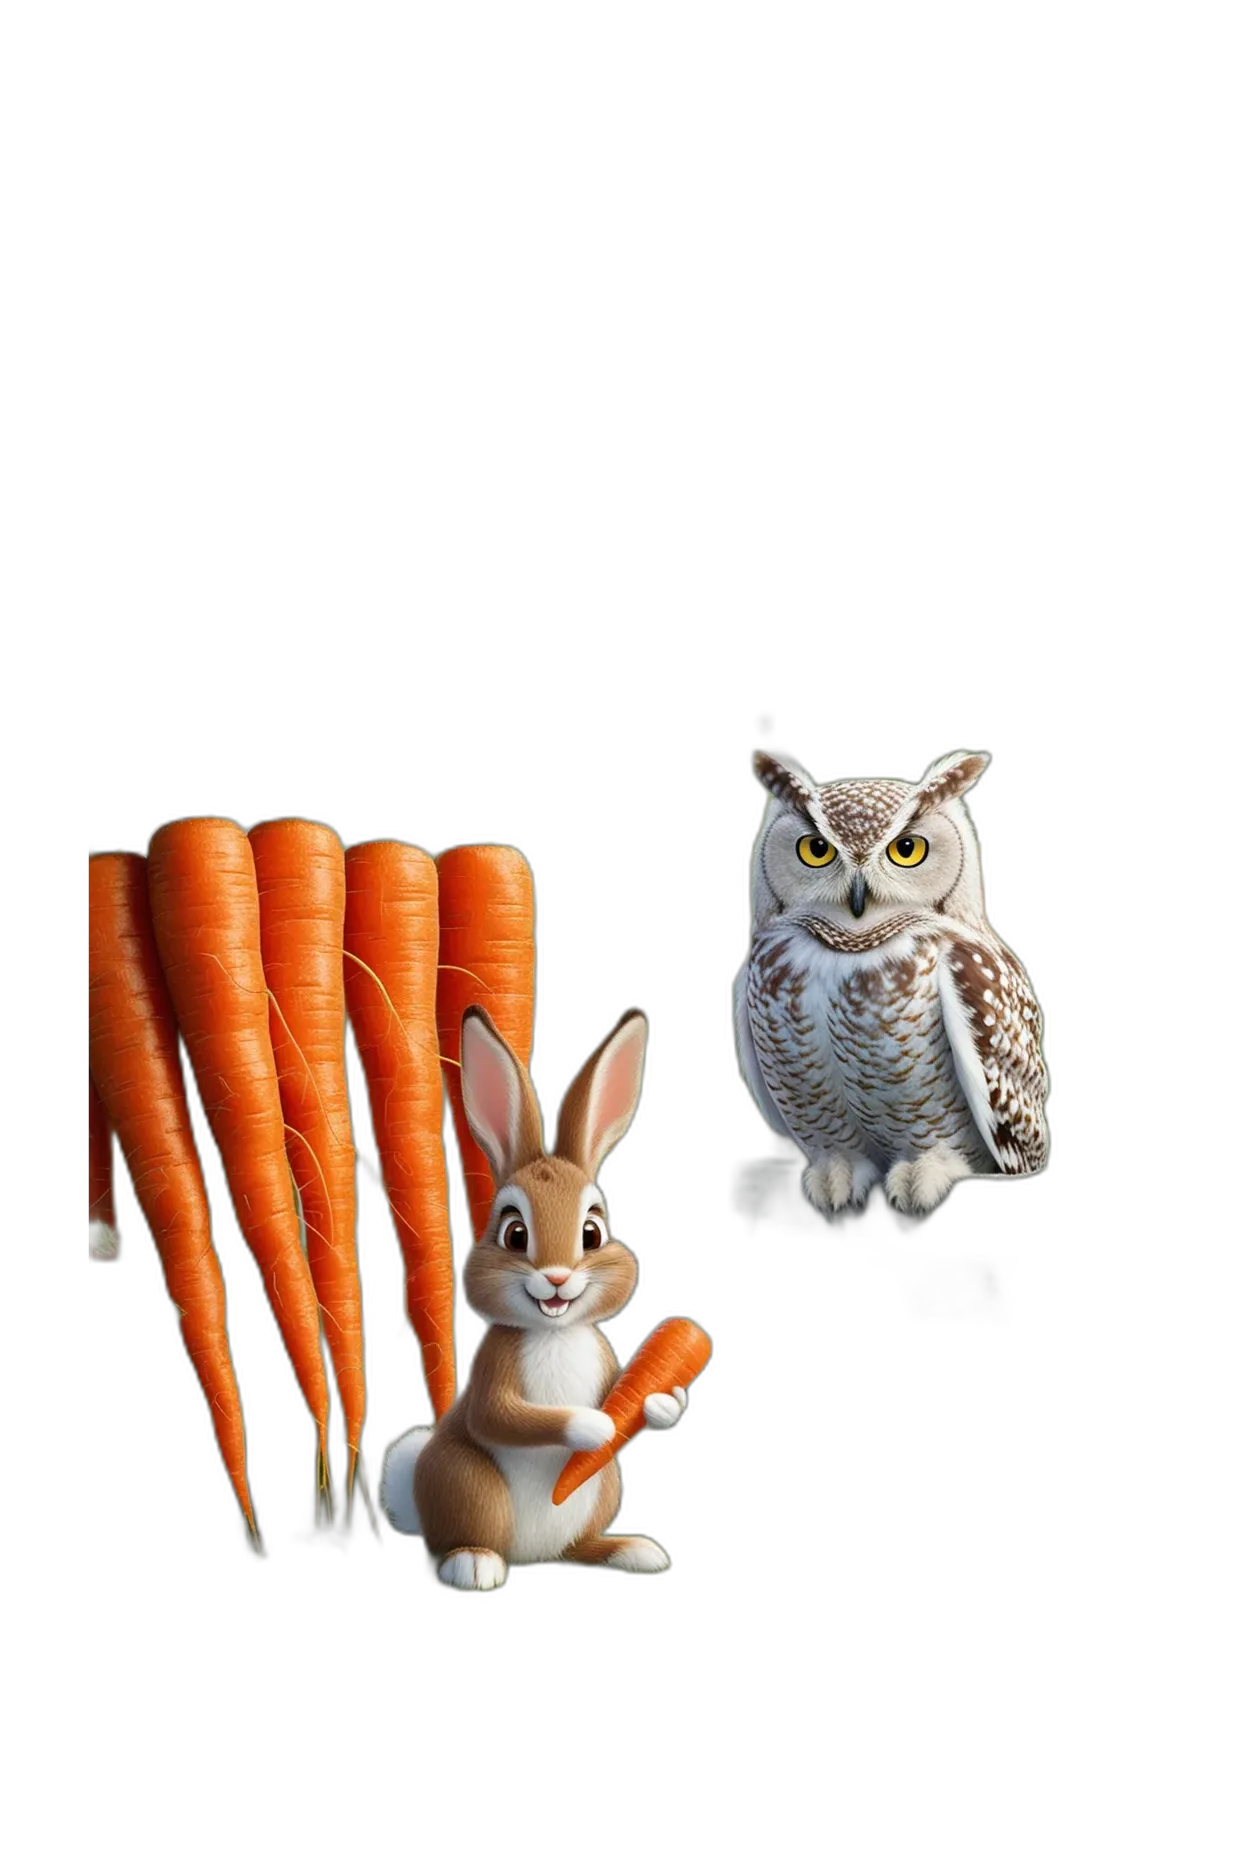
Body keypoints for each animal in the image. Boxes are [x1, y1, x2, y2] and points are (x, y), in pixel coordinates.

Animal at [380, 1003, 689, 1590]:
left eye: (592, 1232)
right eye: (515, 1234)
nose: (558, 1279)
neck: (554, 1331)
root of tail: (531, 1555)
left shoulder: (609, 1367)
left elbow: (640, 1396)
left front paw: (661, 1402)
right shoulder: (492, 1377)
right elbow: (505, 1417)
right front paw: (595, 1424)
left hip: (604, 1487)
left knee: (579, 1545)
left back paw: (630, 1550)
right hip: (469, 1482)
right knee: (468, 1535)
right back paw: (474, 1564)